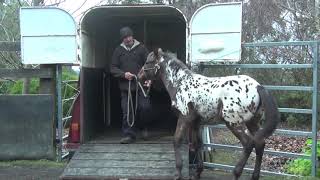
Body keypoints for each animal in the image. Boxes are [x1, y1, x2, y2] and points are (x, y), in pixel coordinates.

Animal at [138, 48, 280, 180]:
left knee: (248, 143)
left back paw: (236, 173)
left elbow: (177, 140)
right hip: (252, 122)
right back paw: (254, 176)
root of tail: (257, 86)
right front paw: (197, 173)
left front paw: (178, 173)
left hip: (234, 123)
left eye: (148, 62)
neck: (180, 83)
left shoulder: (184, 118)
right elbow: (197, 144)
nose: (139, 76)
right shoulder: (196, 123)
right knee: (260, 143)